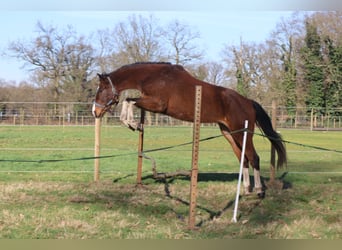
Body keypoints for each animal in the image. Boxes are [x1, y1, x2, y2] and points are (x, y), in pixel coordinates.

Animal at [92, 62, 288, 197]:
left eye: (101, 90)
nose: (95, 112)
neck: (154, 77)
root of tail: (248, 102)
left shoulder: (157, 104)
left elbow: (128, 101)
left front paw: (132, 123)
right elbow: (128, 101)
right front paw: (133, 124)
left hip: (242, 133)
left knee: (254, 157)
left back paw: (259, 191)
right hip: (229, 133)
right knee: (244, 159)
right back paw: (246, 189)